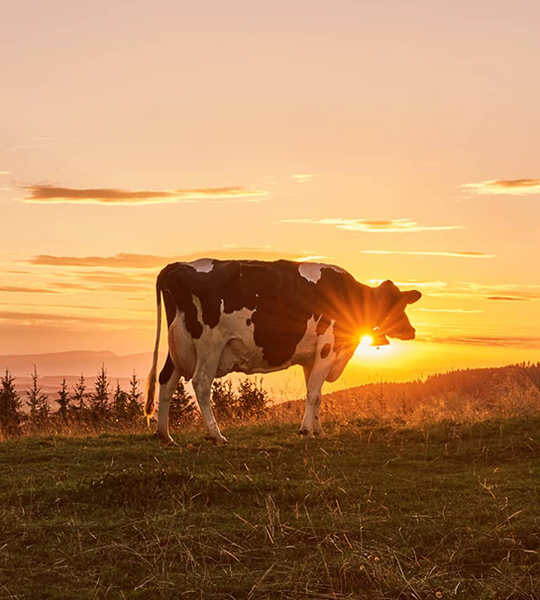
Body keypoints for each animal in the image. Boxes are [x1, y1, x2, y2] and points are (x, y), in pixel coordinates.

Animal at [144, 258, 422, 446]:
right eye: (398, 305)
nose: (411, 331)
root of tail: (178, 265)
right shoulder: (328, 347)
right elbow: (313, 393)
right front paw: (306, 431)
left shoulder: (311, 356)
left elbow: (316, 393)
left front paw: (317, 429)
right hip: (209, 343)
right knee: (201, 383)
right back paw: (217, 435)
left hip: (177, 343)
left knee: (166, 379)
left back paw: (165, 435)